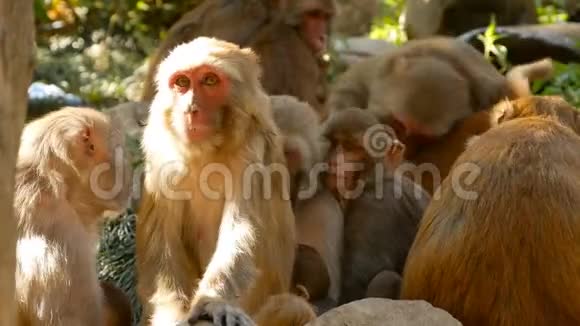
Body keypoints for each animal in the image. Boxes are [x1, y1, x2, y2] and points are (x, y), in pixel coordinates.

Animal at [137, 37, 314, 324]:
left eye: (210, 80)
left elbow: (241, 229)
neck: (207, 151)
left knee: (293, 308)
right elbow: (161, 244)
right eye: (182, 82)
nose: (191, 109)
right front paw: (172, 315)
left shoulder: (252, 147)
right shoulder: (161, 155)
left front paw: (214, 302)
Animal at [322, 108, 430, 304]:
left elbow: (358, 284)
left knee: (385, 279)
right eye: (335, 144)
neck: (373, 181)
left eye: (349, 147)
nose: (334, 161)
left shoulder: (373, 211)